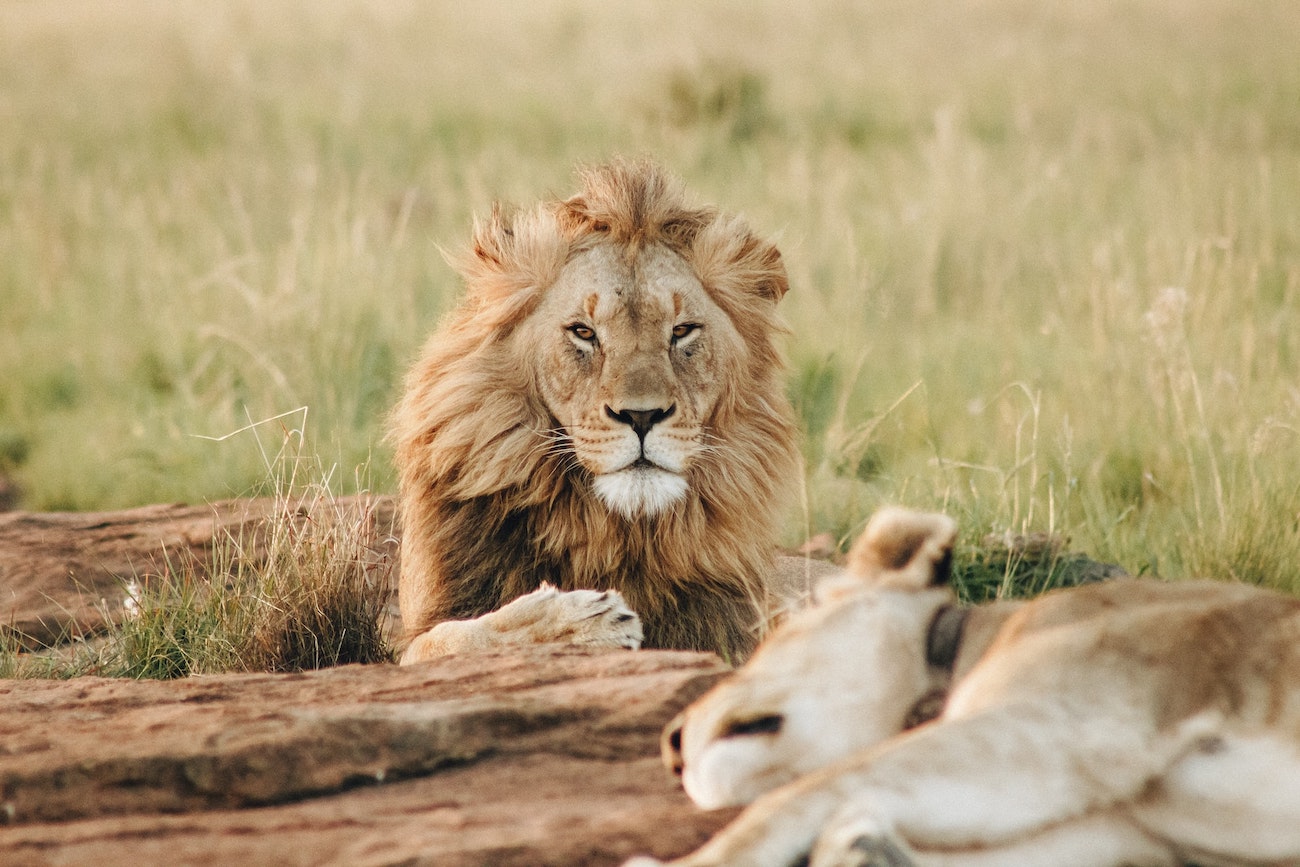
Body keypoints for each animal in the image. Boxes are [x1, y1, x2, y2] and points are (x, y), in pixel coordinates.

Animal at [390, 161, 826, 665]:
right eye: (583, 332)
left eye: (682, 331)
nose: (641, 417)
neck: (612, 533)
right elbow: (452, 638)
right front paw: (579, 622)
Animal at [634, 509, 1300, 867]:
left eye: (769, 641)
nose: (669, 743)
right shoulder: (1125, 835)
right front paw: (866, 848)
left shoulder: (1066, 722)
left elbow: (796, 796)